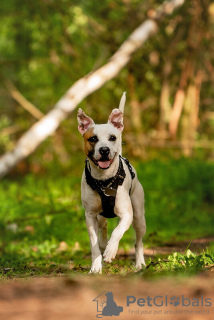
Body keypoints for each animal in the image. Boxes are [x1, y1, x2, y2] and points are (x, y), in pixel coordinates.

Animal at [77, 92, 146, 272]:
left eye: (112, 138)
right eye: (93, 139)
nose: (104, 150)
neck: (104, 180)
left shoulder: (127, 214)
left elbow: (118, 231)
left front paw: (110, 251)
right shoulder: (90, 216)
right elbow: (94, 244)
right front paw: (96, 266)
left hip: (139, 217)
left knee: (138, 242)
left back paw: (139, 263)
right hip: (100, 216)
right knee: (104, 226)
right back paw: (103, 243)